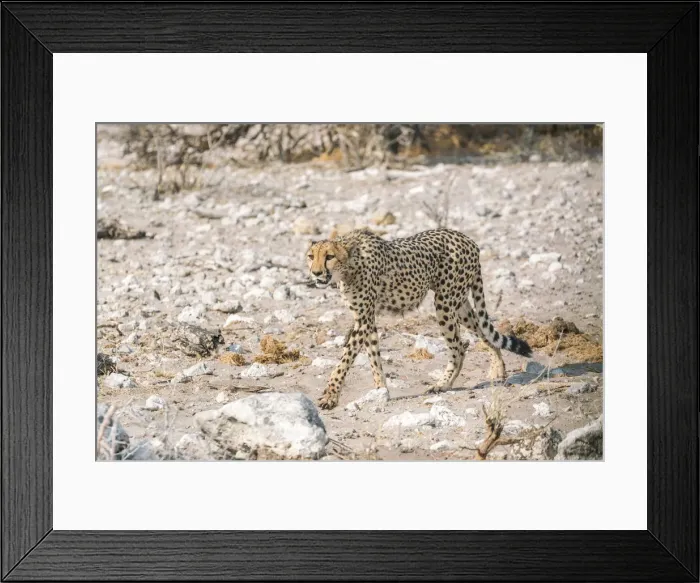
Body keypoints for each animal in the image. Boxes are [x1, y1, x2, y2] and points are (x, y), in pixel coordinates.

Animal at [306, 228, 532, 410]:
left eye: (329, 256)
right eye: (310, 256)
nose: (316, 273)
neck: (349, 264)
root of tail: (468, 239)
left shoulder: (363, 318)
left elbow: (344, 360)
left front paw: (330, 396)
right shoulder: (366, 318)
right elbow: (373, 357)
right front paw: (380, 391)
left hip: (444, 303)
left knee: (459, 347)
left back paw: (442, 384)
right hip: (459, 304)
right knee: (483, 332)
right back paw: (497, 370)